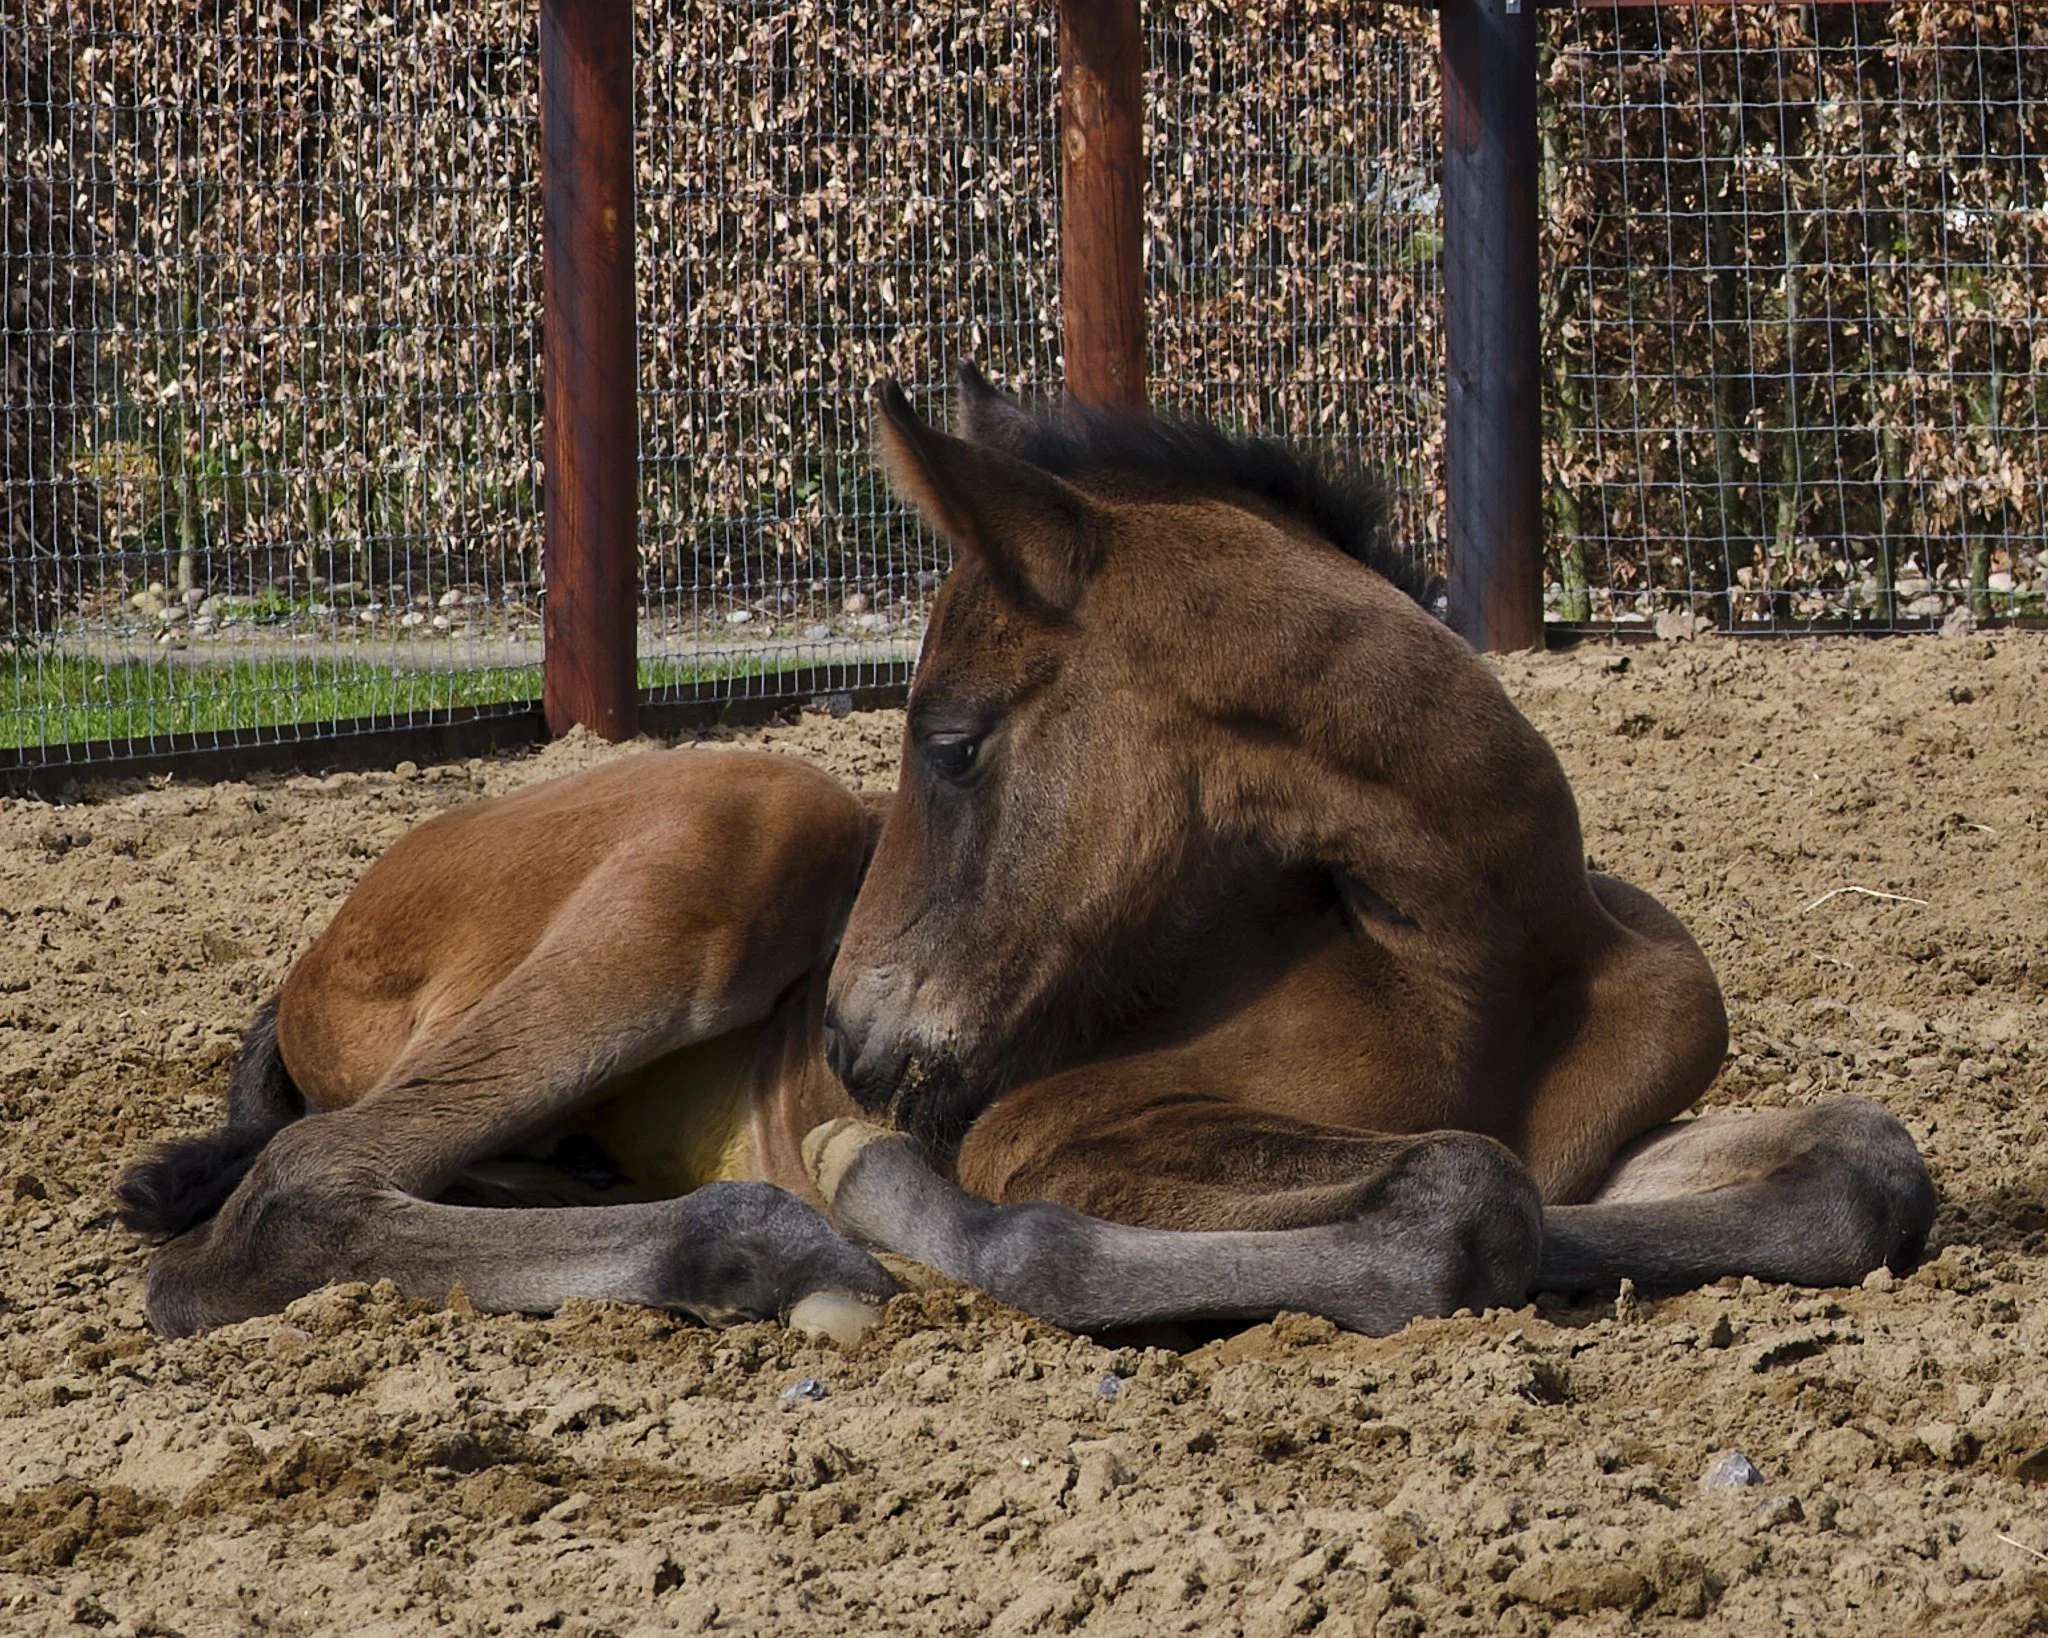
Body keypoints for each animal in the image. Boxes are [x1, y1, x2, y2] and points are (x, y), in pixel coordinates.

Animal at [119, 366, 1936, 1340]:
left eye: (950, 738)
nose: (849, 1044)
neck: (1485, 951)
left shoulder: (1612, 1140)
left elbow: (1863, 1170)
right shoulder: (1059, 1131)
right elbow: (1461, 1199)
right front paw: (882, 1185)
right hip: (746, 825)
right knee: (288, 1198)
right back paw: (758, 1240)